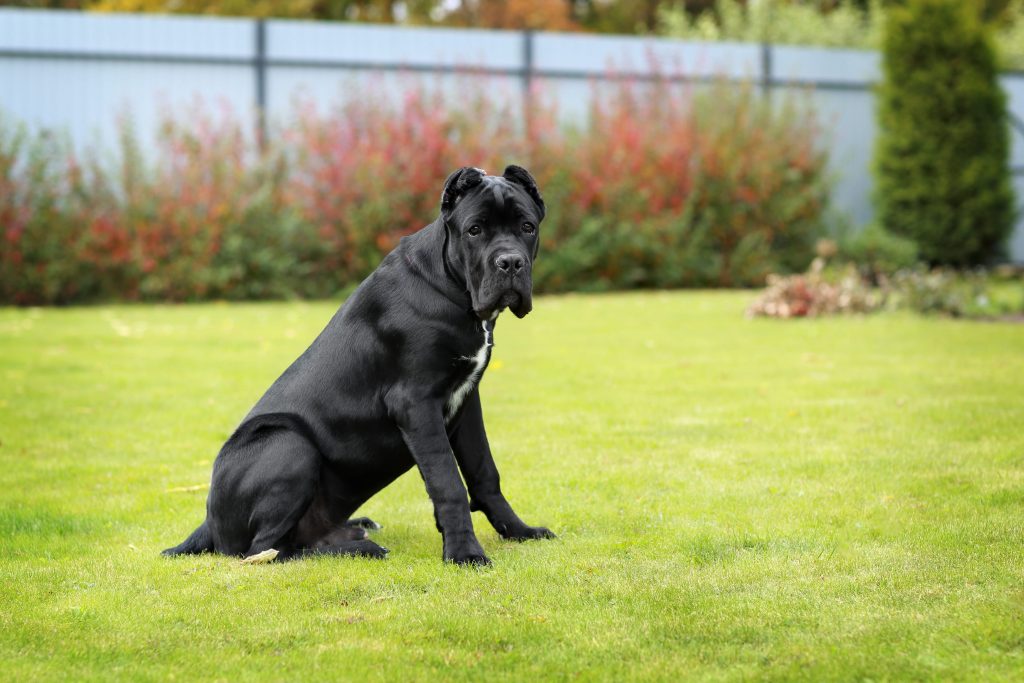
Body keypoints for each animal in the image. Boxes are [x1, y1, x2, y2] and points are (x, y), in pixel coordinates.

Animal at [161, 165, 552, 565]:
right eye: (474, 229)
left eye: (527, 227)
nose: (510, 262)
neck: (451, 287)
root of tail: (209, 522)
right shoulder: (416, 403)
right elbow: (448, 482)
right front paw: (464, 553)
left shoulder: (466, 400)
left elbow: (484, 472)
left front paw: (518, 530)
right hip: (289, 444)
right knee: (267, 550)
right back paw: (361, 548)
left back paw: (355, 533)